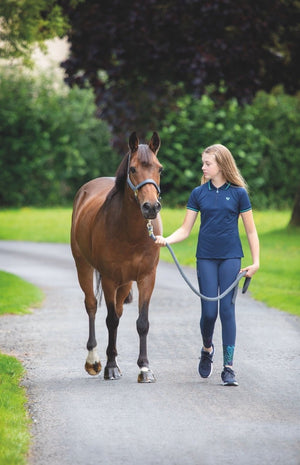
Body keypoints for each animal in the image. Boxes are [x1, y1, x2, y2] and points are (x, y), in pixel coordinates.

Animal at [70, 130, 163, 380]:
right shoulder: (110, 278)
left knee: (119, 311)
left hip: (125, 282)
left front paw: (145, 368)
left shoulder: (146, 278)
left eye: (160, 169)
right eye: (132, 169)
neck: (130, 232)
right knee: (92, 305)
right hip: (84, 267)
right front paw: (110, 367)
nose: (151, 207)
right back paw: (94, 360)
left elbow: (142, 322)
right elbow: (110, 321)